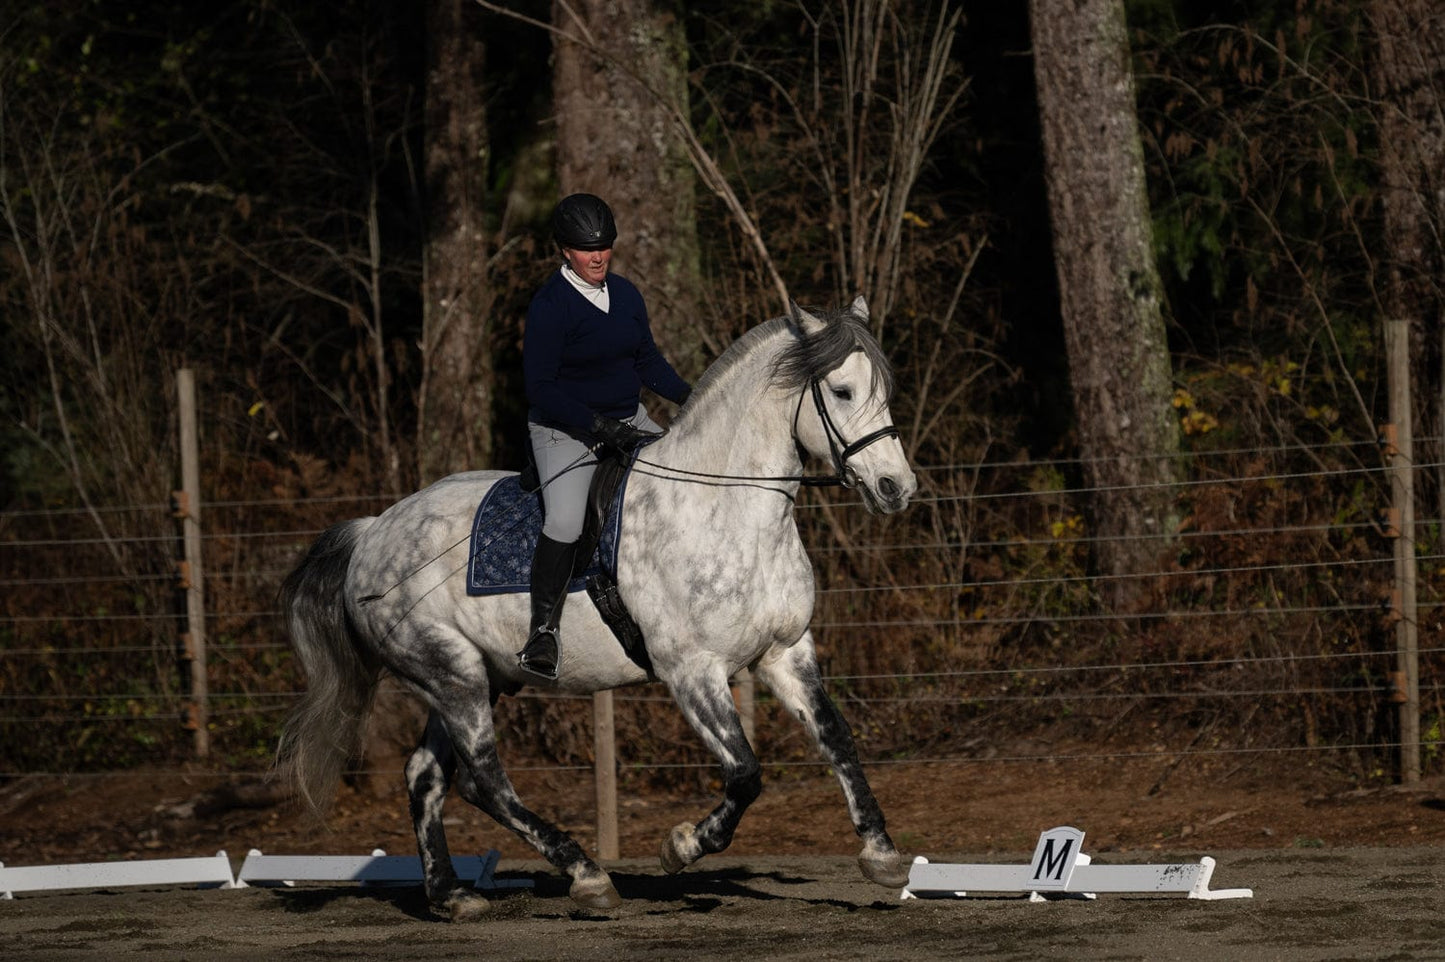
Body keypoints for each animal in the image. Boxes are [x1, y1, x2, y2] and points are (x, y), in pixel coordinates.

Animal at [275, 296, 919, 918]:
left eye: (884, 391)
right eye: (842, 391)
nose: (897, 489)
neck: (726, 508)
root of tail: (372, 532)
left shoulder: (785, 653)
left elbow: (837, 738)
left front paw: (882, 856)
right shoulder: (692, 672)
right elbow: (745, 775)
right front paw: (680, 846)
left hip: (472, 679)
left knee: (426, 776)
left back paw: (453, 896)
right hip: (452, 675)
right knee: (483, 783)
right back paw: (585, 876)